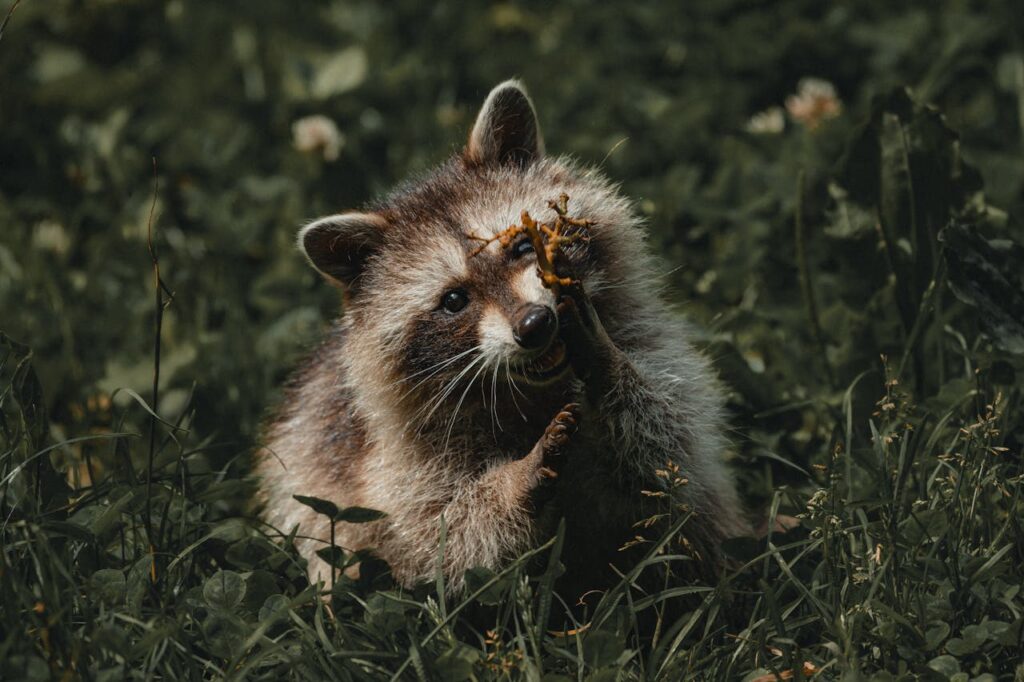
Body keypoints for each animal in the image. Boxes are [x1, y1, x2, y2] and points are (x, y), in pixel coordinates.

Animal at [257, 80, 748, 595]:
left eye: (524, 245)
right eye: (454, 300)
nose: (535, 325)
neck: (534, 390)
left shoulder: (653, 346)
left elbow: (670, 443)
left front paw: (607, 363)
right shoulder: (396, 454)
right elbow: (440, 534)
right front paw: (516, 480)